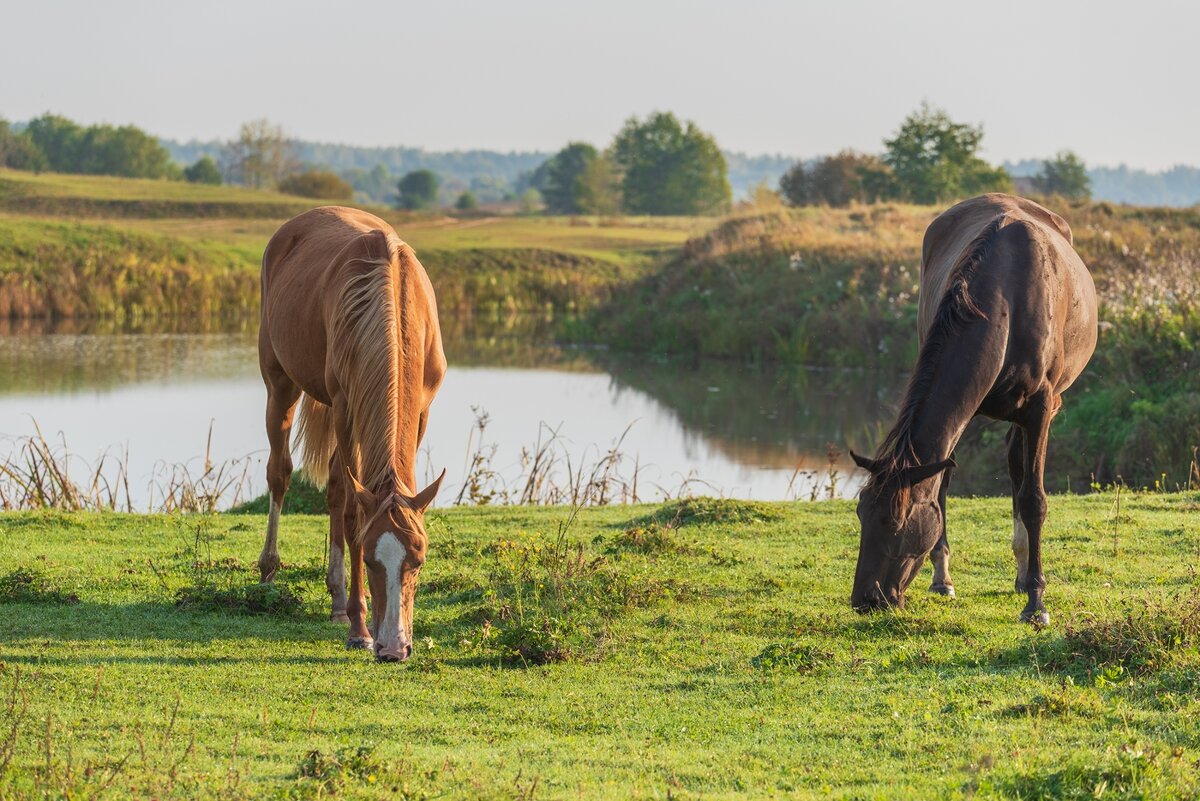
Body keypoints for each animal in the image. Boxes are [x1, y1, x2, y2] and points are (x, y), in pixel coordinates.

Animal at [256, 206, 446, 661]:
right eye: (373, 562)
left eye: (418, 560)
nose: (394, 648)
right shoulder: (345, 410)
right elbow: (350, 511)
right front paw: (361, 628)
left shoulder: (421, 411)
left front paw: (360, 616)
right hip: (280, 385)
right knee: (280, 473)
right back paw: (269, 574)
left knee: (332, 487)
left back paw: (337, 600)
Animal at [844, 194, 1099, 623]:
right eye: (862, 512)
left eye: (896, 521)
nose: (866, 598)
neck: (1009, 302)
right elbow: (943, 485)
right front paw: (942, 578)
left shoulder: (1041, 409)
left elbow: (1034, 499)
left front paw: (1036, 603)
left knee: (1019, 470)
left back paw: (1024, 575)